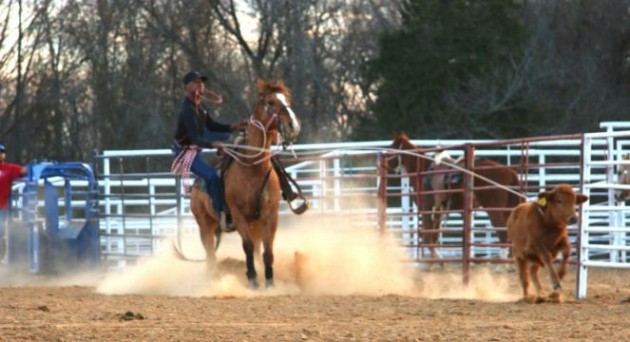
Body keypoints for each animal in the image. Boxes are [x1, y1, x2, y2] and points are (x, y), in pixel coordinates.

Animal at [175, 79, 302, 288]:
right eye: (271, 102)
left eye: (287, 99)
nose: (294, 126)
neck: (253, 168)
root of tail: (195, 187)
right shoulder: (238, 215)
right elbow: (247, 247)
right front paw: (252, 280)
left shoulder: (270, 215)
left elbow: (268, 250)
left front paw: (270, 282)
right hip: (205, 225)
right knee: (211, 256)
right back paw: (213, 280)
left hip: (253, 224)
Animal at [388, 132, 524, 260]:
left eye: (391, 148)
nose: (385, 164)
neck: (422, 171)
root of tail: (509, 171)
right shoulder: (438, 211)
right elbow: (433, 237)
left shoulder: (427, 209)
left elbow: (427, 238)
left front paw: (438, 260)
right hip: (508, 209)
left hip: (494, 210)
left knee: (503, 235)